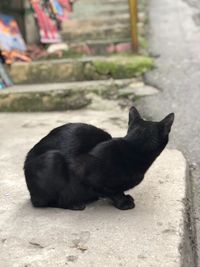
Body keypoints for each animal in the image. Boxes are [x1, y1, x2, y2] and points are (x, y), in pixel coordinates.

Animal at [23, 107, 173, 211]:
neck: (132, 147)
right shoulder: (84, 169)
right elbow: (112, 190)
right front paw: (123, 201)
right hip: (52, 159)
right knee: (47, 202)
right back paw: (74, 204)